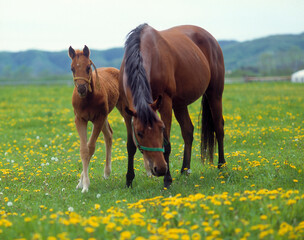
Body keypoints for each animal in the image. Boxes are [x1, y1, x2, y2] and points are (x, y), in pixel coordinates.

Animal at [68, 45, 120, 193]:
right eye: (72, 69)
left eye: (88, 67)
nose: (81, 89)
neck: (88, 99)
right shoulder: (80, 119)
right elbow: (84, 149)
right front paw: (81, 183)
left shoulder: (98, 118)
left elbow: (90, 148)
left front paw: (85, 185)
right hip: (105, 117)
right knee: (109, 135)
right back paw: (106, 172)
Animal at [119, 24, 226, 189]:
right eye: (140, 133)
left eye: (161, 128)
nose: (160, 168)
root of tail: (211, 38)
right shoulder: (127, 110)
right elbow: (131, 146)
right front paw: (129, 180)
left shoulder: (165, 103)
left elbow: (167, 144)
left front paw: (167, 180)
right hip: (180, 104)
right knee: (188, 131)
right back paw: (185, 170)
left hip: (214, 94)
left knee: (219, 128)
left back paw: (221, 165)